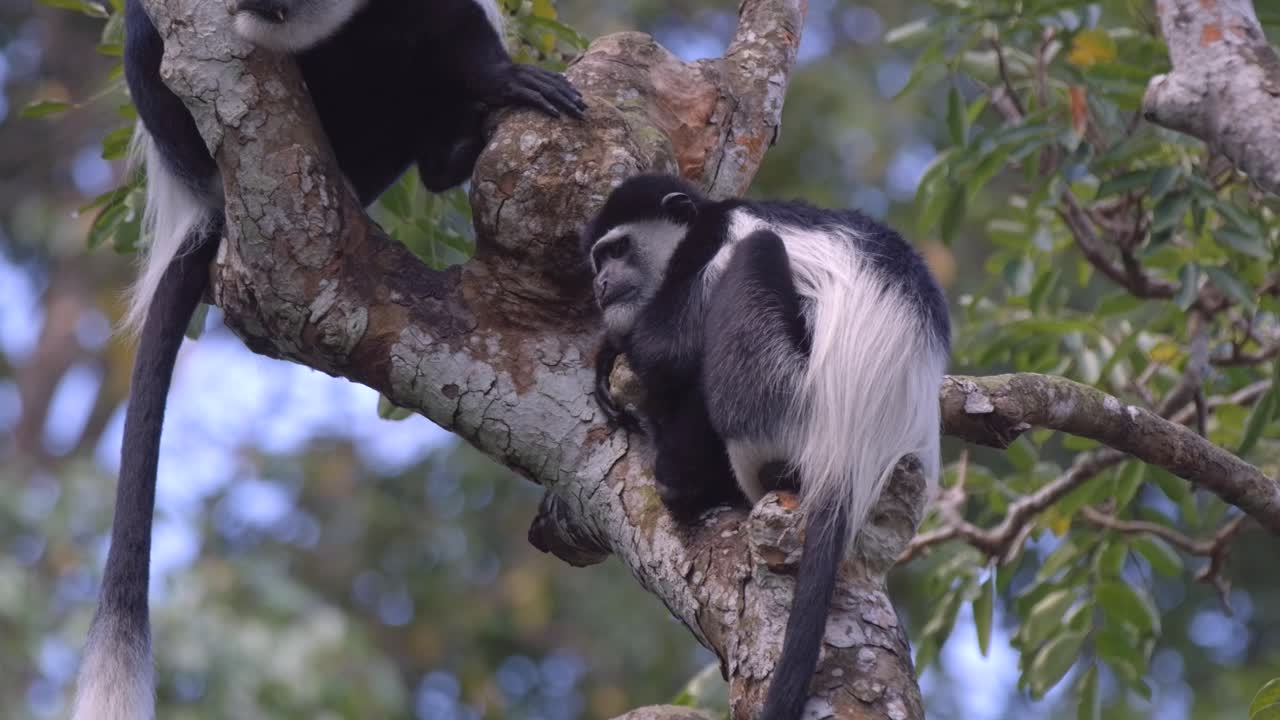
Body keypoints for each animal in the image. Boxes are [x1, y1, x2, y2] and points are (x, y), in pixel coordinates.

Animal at [583, 174, 950, 720]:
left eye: (620, 249)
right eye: (599, 258)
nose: (601, 284)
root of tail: (849, 458)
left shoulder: (709, 248)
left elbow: (666, 347)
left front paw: (612, 353)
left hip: (776, 392)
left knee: (754, 260)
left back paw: (682, 480)